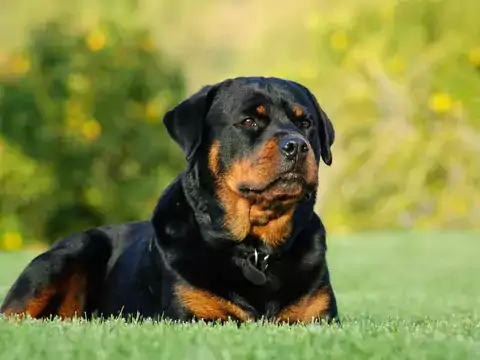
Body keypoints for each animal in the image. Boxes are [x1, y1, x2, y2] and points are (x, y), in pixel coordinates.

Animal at [0, 76, 338, 324]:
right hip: (67, 254)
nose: (297, 145)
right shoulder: (194, 315)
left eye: (306, 123)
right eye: (249, 121)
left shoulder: (318, 319)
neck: (256, 250)